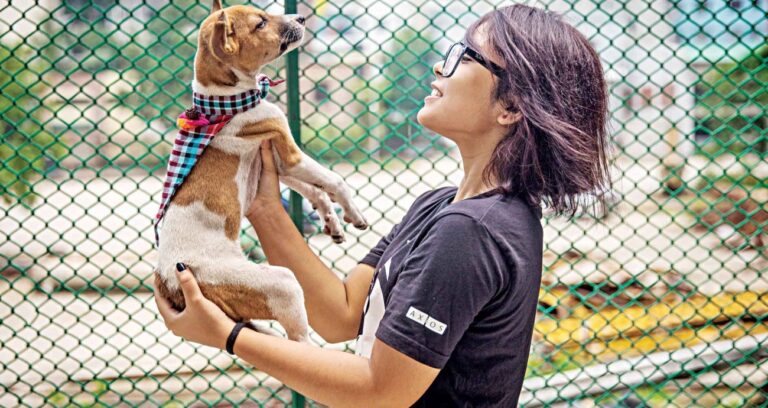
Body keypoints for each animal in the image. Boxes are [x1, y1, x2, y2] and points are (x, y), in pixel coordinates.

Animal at [154, 0, 368, 344]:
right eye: (261, 23)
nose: (302, 17)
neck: (224, 101)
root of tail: (169, 281)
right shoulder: (291, 156)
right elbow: (335, 181)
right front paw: (354, 213)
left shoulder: (277, 160)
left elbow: (316, 190)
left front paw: (333, 223)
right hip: (280, 284)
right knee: (298, 341)